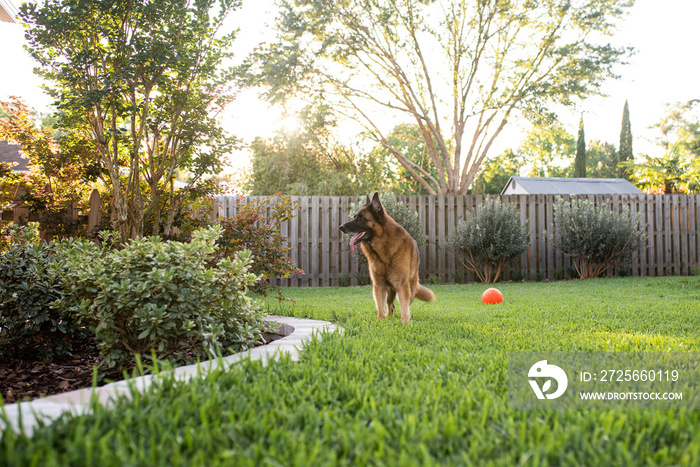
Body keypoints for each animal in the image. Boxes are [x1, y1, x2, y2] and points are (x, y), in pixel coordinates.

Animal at [338, 193, 432, 322]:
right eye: (355, 216)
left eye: (361, 218)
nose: (341, 227)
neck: (383, 246)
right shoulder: (379, 285)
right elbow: (380, 305)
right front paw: (381, 320)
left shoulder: (402, 284)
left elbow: (404, 306)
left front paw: (405, 322)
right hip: (389, 289)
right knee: (390, 304)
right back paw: (388, 316)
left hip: (410, 288)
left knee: (405, 303)